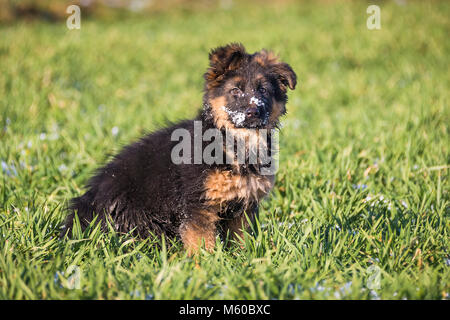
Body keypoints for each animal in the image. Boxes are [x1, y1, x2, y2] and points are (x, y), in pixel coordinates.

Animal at [61, 42, 298, 254]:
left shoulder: (244, 206)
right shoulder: (198, 203)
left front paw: (241, 260)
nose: (254, 112)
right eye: (235, 91)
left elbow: (240, 240)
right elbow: (202, 241)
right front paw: (207, 265)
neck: (233, 142)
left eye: (264, 91)